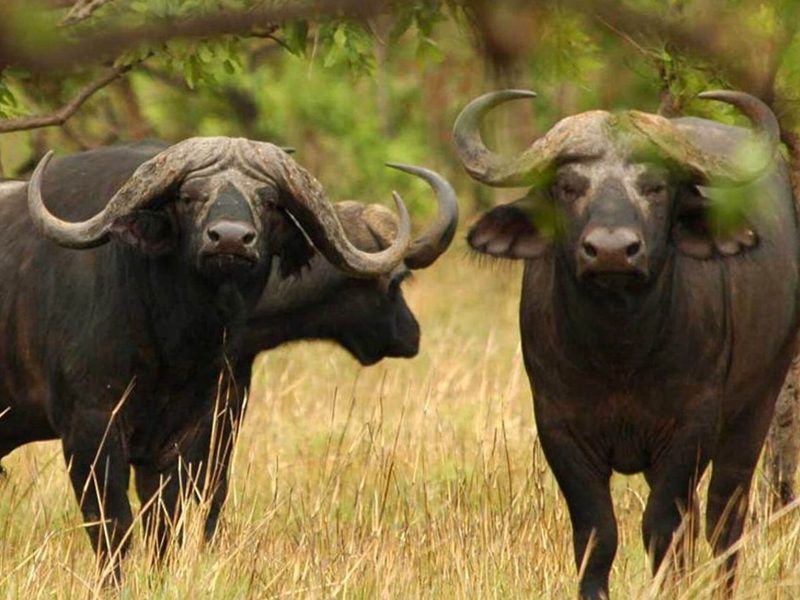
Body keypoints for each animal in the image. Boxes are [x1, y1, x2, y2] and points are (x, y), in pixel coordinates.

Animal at [0, 138, 414, 574]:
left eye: (268, 201)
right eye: (189, 196)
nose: (229, 239)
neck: (171, 344)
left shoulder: (190, 434)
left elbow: (167, 524)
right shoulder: (90, 427)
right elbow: (113, 526)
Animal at [454, 90, 799, 598]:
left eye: (655, 187)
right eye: (568, 186)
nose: (612, 251)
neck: (620, 351)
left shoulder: (691, 426)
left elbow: (662, 528)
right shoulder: (558, 428)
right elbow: (597, 534)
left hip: (758, 404)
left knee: (723, 518)